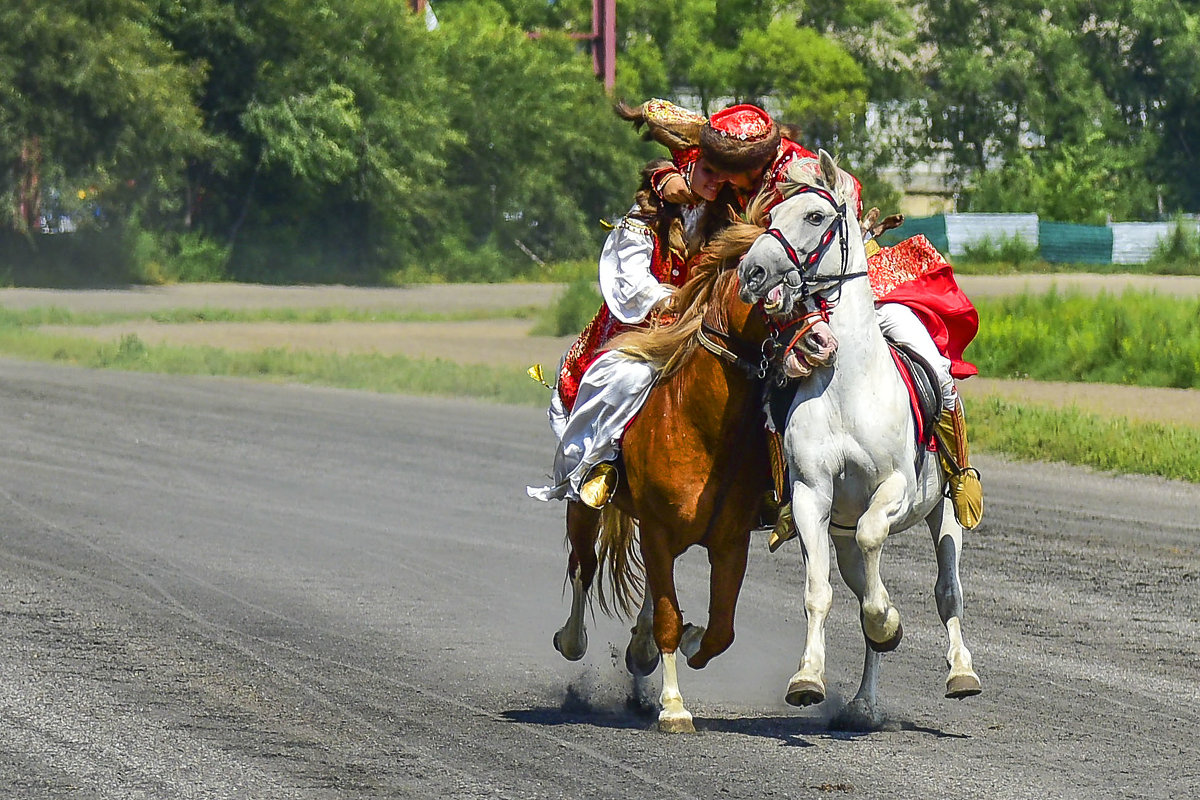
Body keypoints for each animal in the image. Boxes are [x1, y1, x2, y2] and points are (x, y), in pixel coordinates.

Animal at [549, 211, 835, 734]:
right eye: (762, 278)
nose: (822, 342)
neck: (698, 426)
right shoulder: (659, 531)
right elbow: (667, 615)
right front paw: (673, 706)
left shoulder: (730, 541)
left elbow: (719, 629)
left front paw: (686, 642)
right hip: (586, 500)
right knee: (584, 564)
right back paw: (573, 638)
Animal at [734, 151, 979, 724]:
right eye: (772, 214)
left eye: (815, 217)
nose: (752, 272)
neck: (847, 385)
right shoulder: (811, 497)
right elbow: (819, 591)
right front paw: (807, 677)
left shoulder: (895, 489)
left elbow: (875, 545)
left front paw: (888, 620)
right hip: (839, 532)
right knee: (859, 579)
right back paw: (865, 703)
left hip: (944, 512)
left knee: (947, 590)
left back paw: (960, 672)